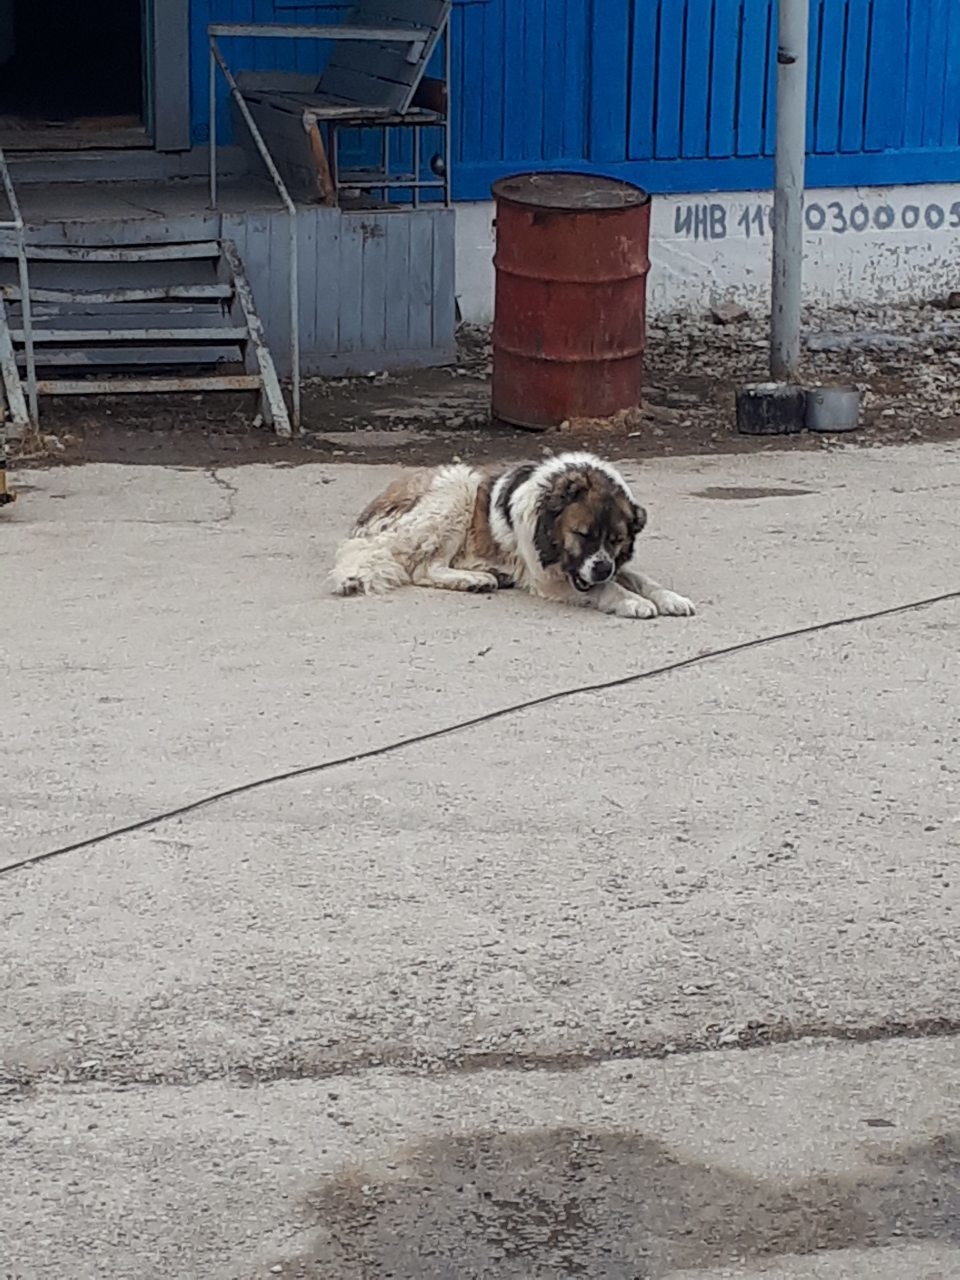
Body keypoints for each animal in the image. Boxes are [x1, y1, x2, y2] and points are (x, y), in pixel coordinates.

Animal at [327, 450, 696, 619]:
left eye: (617, 540)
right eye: (582, 534)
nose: (603, 566)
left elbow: (642, 579)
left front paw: (670, 598)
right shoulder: (550, 578)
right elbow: (609, 588)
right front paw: (634, 601)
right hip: (458, 488)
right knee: (422, 568)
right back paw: (473, 580)